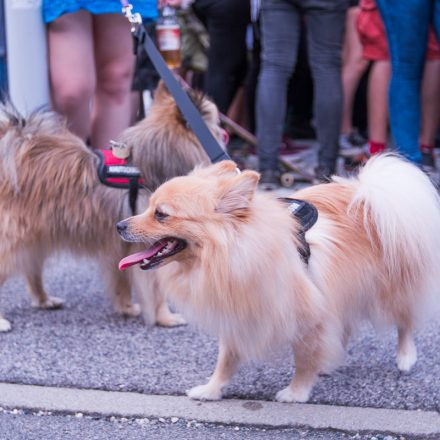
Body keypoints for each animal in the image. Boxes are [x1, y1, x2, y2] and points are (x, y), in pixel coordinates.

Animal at [0, 82, 222, 332]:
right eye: (216, 121)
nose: (225, 133)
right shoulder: (147, 245)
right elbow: (155, 290)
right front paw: (165, 317)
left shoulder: (121, 244)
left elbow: (121, 280)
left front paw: (126, 307)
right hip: (15, 240)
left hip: (36, 237)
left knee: (32, 270)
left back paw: (44, 300)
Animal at [116, 155, 440, 402]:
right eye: (148, 207)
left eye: (161, 214)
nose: (120, 225)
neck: (227, 256)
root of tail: (369, 196)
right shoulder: (238, 314)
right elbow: (226, 360)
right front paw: (211, 390)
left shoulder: (307, 313)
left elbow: (304, 359)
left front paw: (297, 393)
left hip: (390, 289)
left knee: (405, 321)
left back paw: (405, 357)